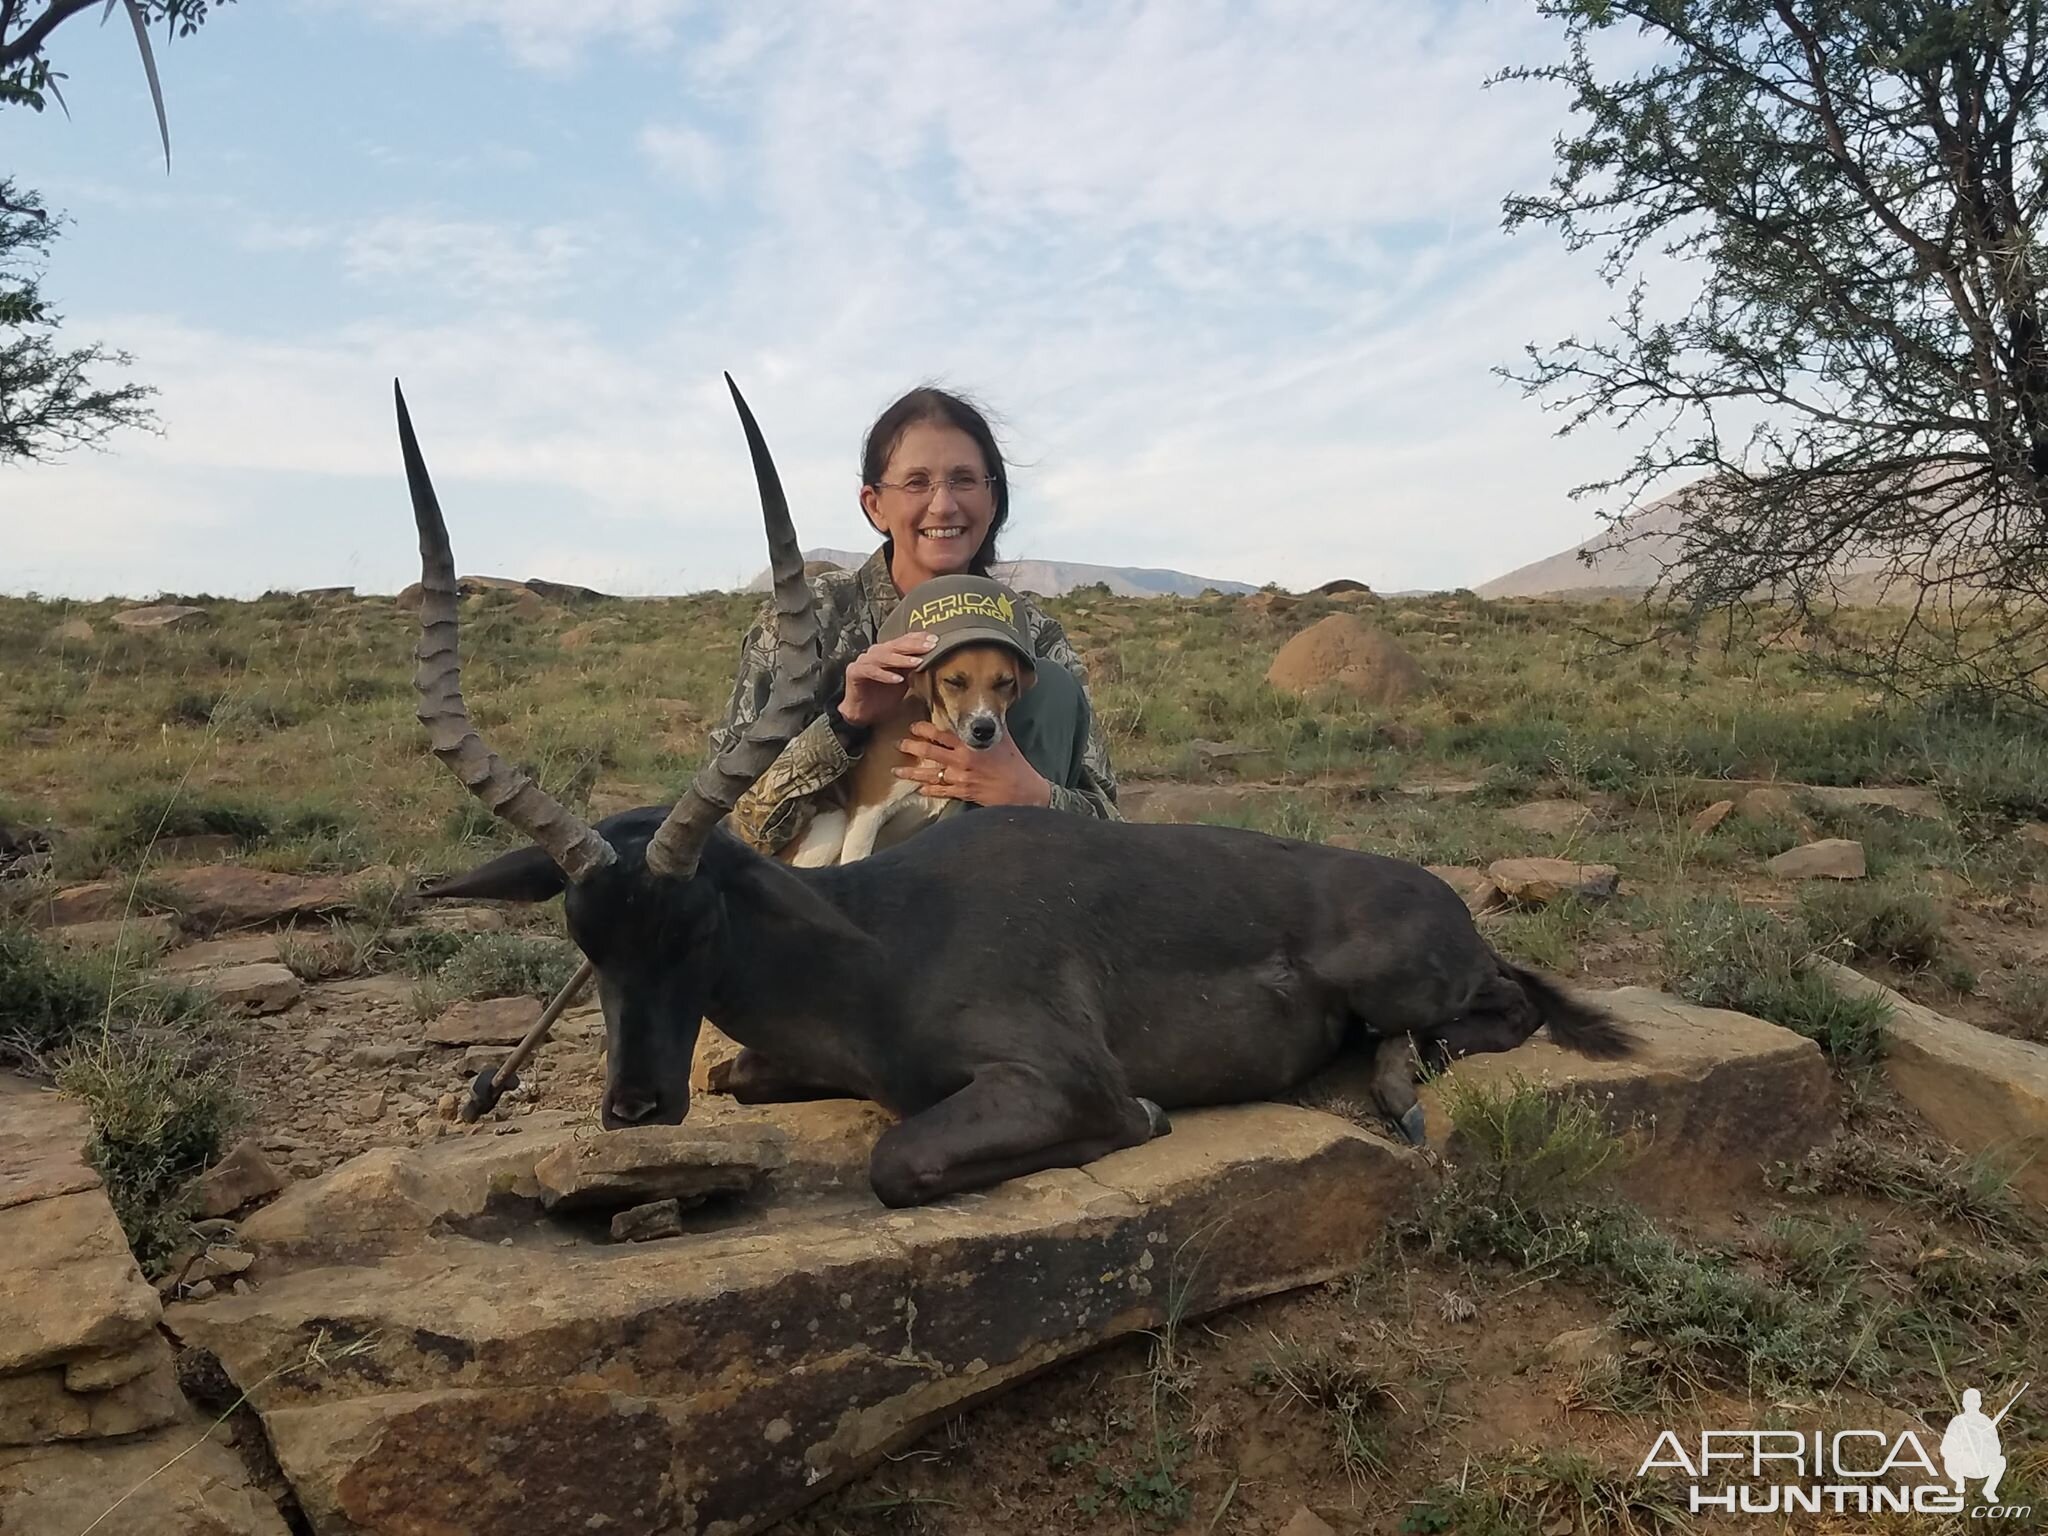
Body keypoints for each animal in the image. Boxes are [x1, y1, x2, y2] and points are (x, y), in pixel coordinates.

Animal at [786, 573, 1040, 868]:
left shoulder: (949, 814)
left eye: (1004, 682)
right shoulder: (866, 816)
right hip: (833, 825)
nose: (984, 730)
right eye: (954, 681)